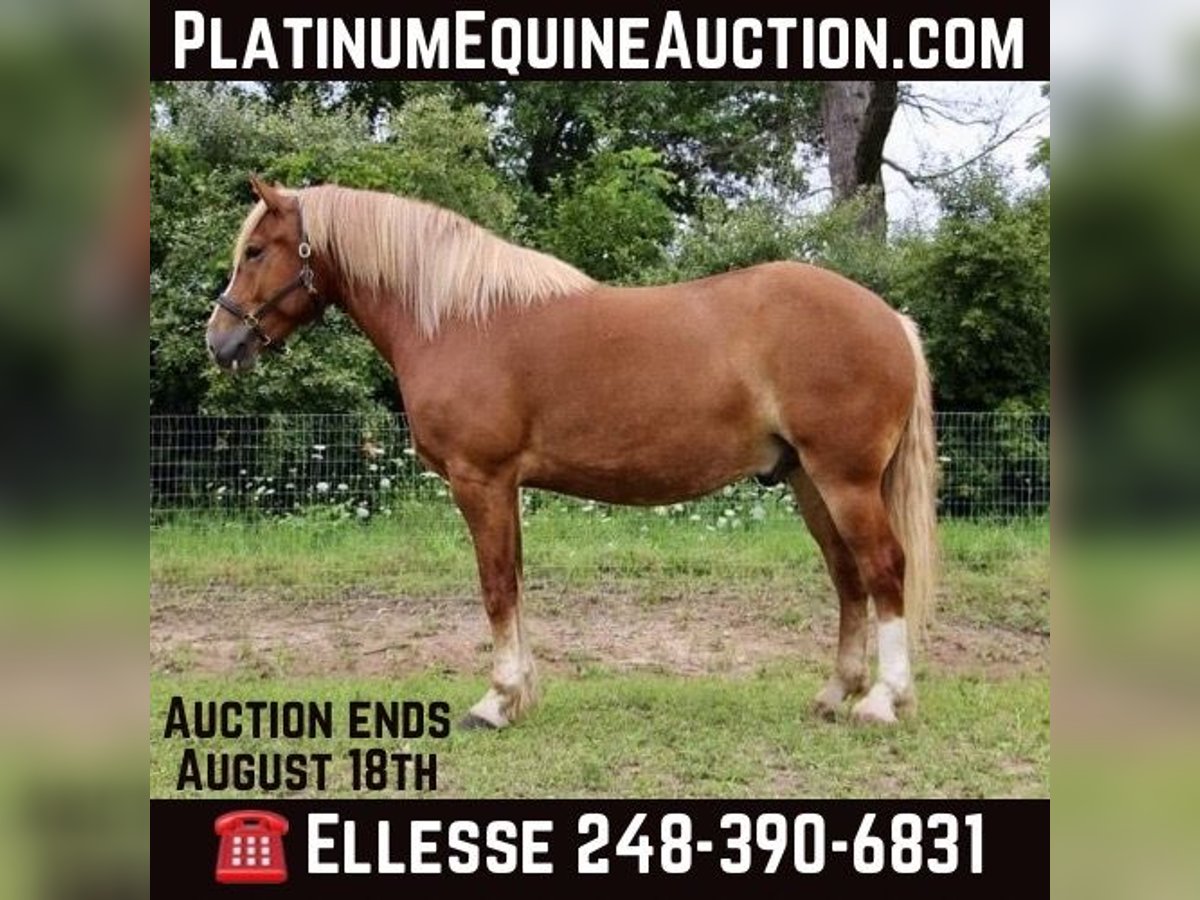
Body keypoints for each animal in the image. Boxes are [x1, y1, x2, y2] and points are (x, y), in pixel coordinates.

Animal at [206, 176, 937, 729]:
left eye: (256, 250)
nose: (220, 341)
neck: (456, 318)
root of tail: (890, 318)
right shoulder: (505, 487)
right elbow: (514, 582)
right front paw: (520, 694)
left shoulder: (480, 481)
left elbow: (496, 587)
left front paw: (496, 701)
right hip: (809, 481)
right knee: (848, 577)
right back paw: (835, 694)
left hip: (844, 480)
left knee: (883, 569)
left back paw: (882, 701)